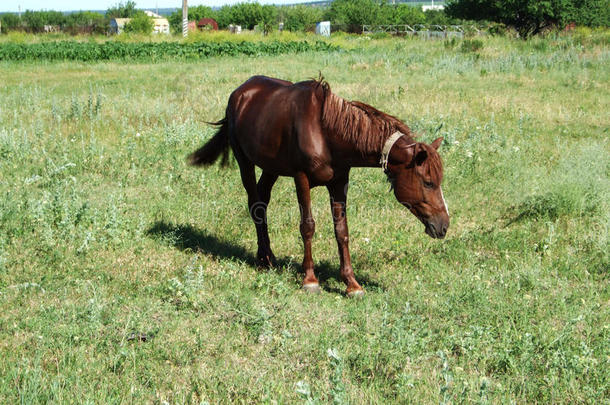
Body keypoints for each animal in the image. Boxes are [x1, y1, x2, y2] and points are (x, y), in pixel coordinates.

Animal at [189, 76, 446, 296]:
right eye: (428, 182)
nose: (443, 226)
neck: (327, 133)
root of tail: (240, 92)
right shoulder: (301, 179)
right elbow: (308, 227)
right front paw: (310, 280)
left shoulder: (340, 183)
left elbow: (342, 231)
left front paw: (352, 284)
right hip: (245, 160)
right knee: (254, 203)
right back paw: (263, 260)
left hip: (271, 167)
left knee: (262, 202)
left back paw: (269, 257)